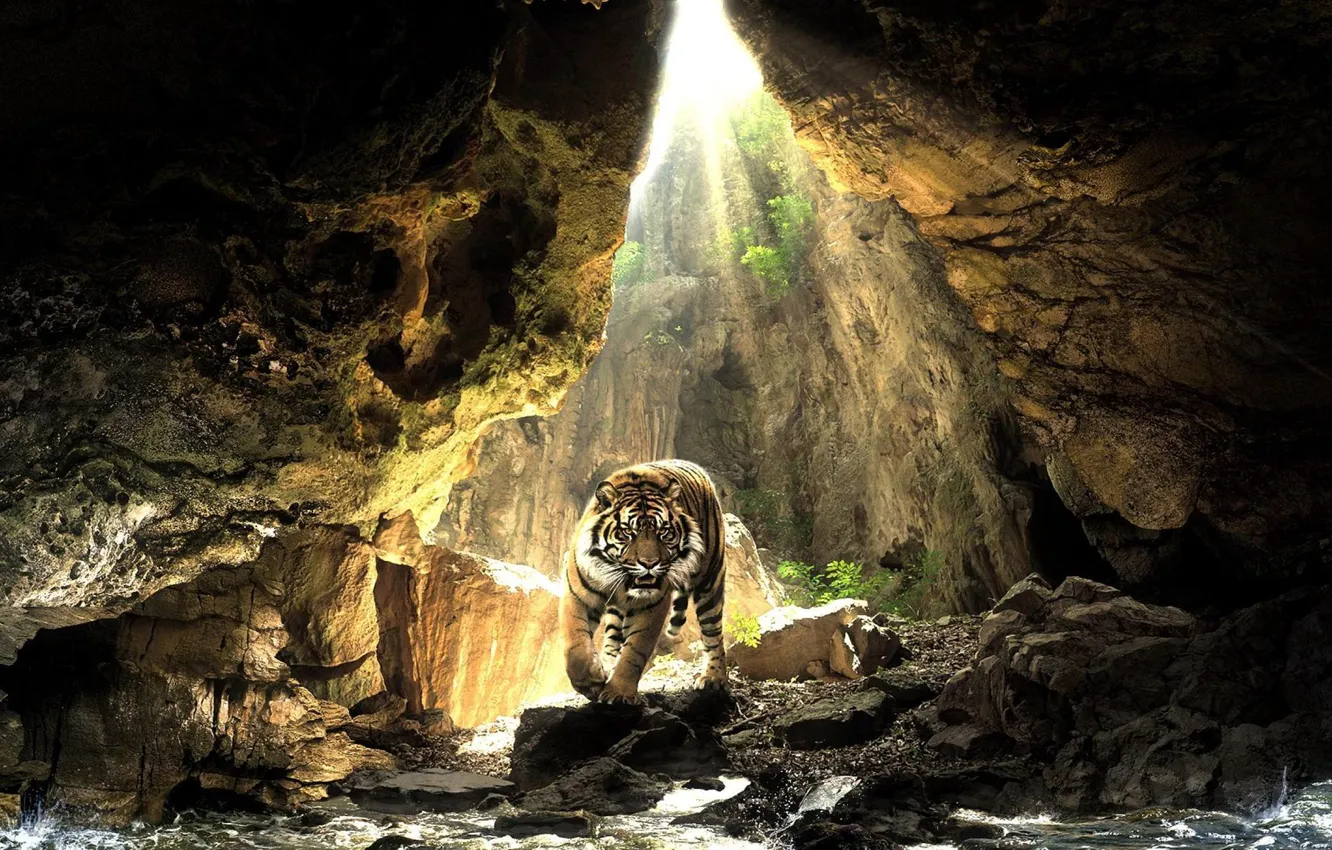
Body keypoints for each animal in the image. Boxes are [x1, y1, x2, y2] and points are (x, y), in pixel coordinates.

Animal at [560, 459, 728, 704]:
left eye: (664, 532)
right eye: (627, 533)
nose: (650, 563)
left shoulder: (651, 605)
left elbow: (635, 651)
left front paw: (619, 692)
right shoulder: (577, 594)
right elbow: (576, 644)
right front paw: (591, 682)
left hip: (710, 581)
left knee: (713, 633)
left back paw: (714, 677)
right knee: (612, 635)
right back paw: (607, 663)